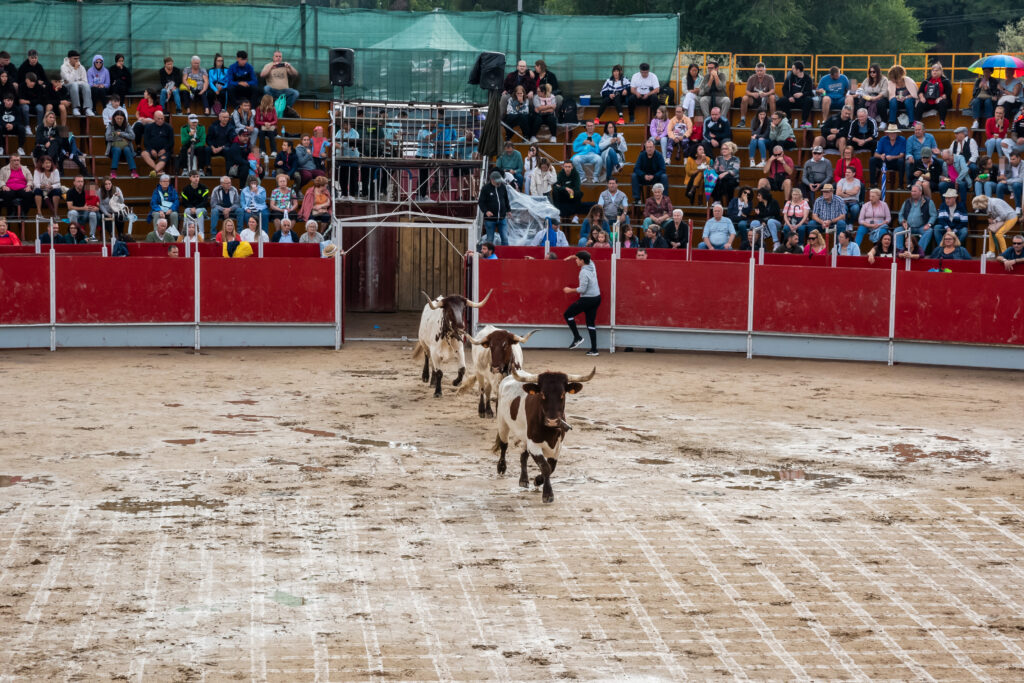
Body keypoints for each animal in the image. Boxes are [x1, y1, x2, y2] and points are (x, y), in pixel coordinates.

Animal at [491, 368, 598, 501]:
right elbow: (545, 467)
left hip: (524, 435)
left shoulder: (557, 446)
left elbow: (551, 467)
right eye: (542, 394)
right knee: (504, 444)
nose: (552, 421)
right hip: (502, 422)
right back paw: (501, 467)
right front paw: (547, 494)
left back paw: (523, 479)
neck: (550, 432)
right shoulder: (534, 444)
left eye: (562, 395)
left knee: (523, 455)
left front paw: (537, 480)